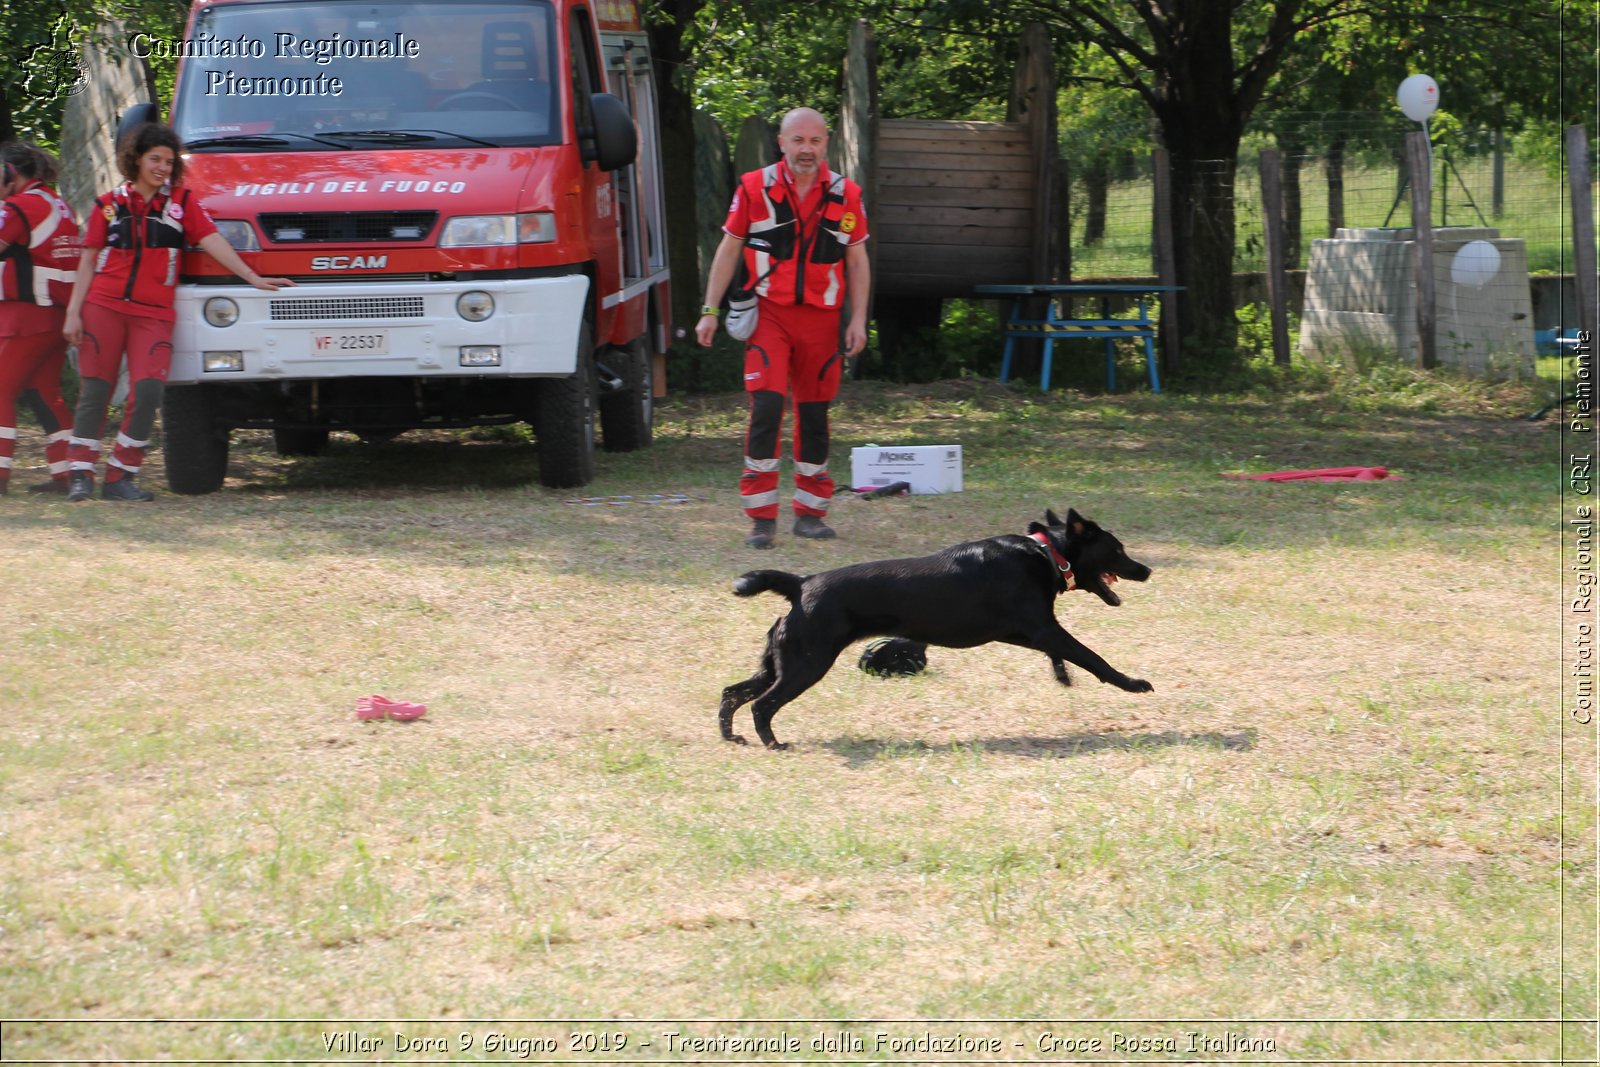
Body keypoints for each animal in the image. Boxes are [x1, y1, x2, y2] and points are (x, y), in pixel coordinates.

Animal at [723, 511, 1152, 751]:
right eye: (1117, 550)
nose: (1146, 570)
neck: (1047, 553)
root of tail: (801, 583)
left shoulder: (1027, 632)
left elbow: (1063, 654)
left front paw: (1062, 676)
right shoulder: (1043, 628)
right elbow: (1092, 657)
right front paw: (1132, 683)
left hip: (780, 662)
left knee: (732, 693)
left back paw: (732, 737)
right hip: (806, 664)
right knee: (762, 704)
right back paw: (774, 744)